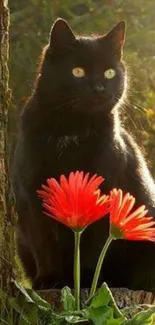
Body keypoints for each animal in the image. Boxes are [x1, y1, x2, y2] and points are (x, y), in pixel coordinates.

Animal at [12, 19, 155, 290]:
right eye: (77, 71)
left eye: (109, 72)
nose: (99, 88)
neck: (71, 130)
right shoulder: (33, 195)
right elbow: (44, 242)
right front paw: (49, 281)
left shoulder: (104, 190)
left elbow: (93, 247)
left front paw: (87, 282)